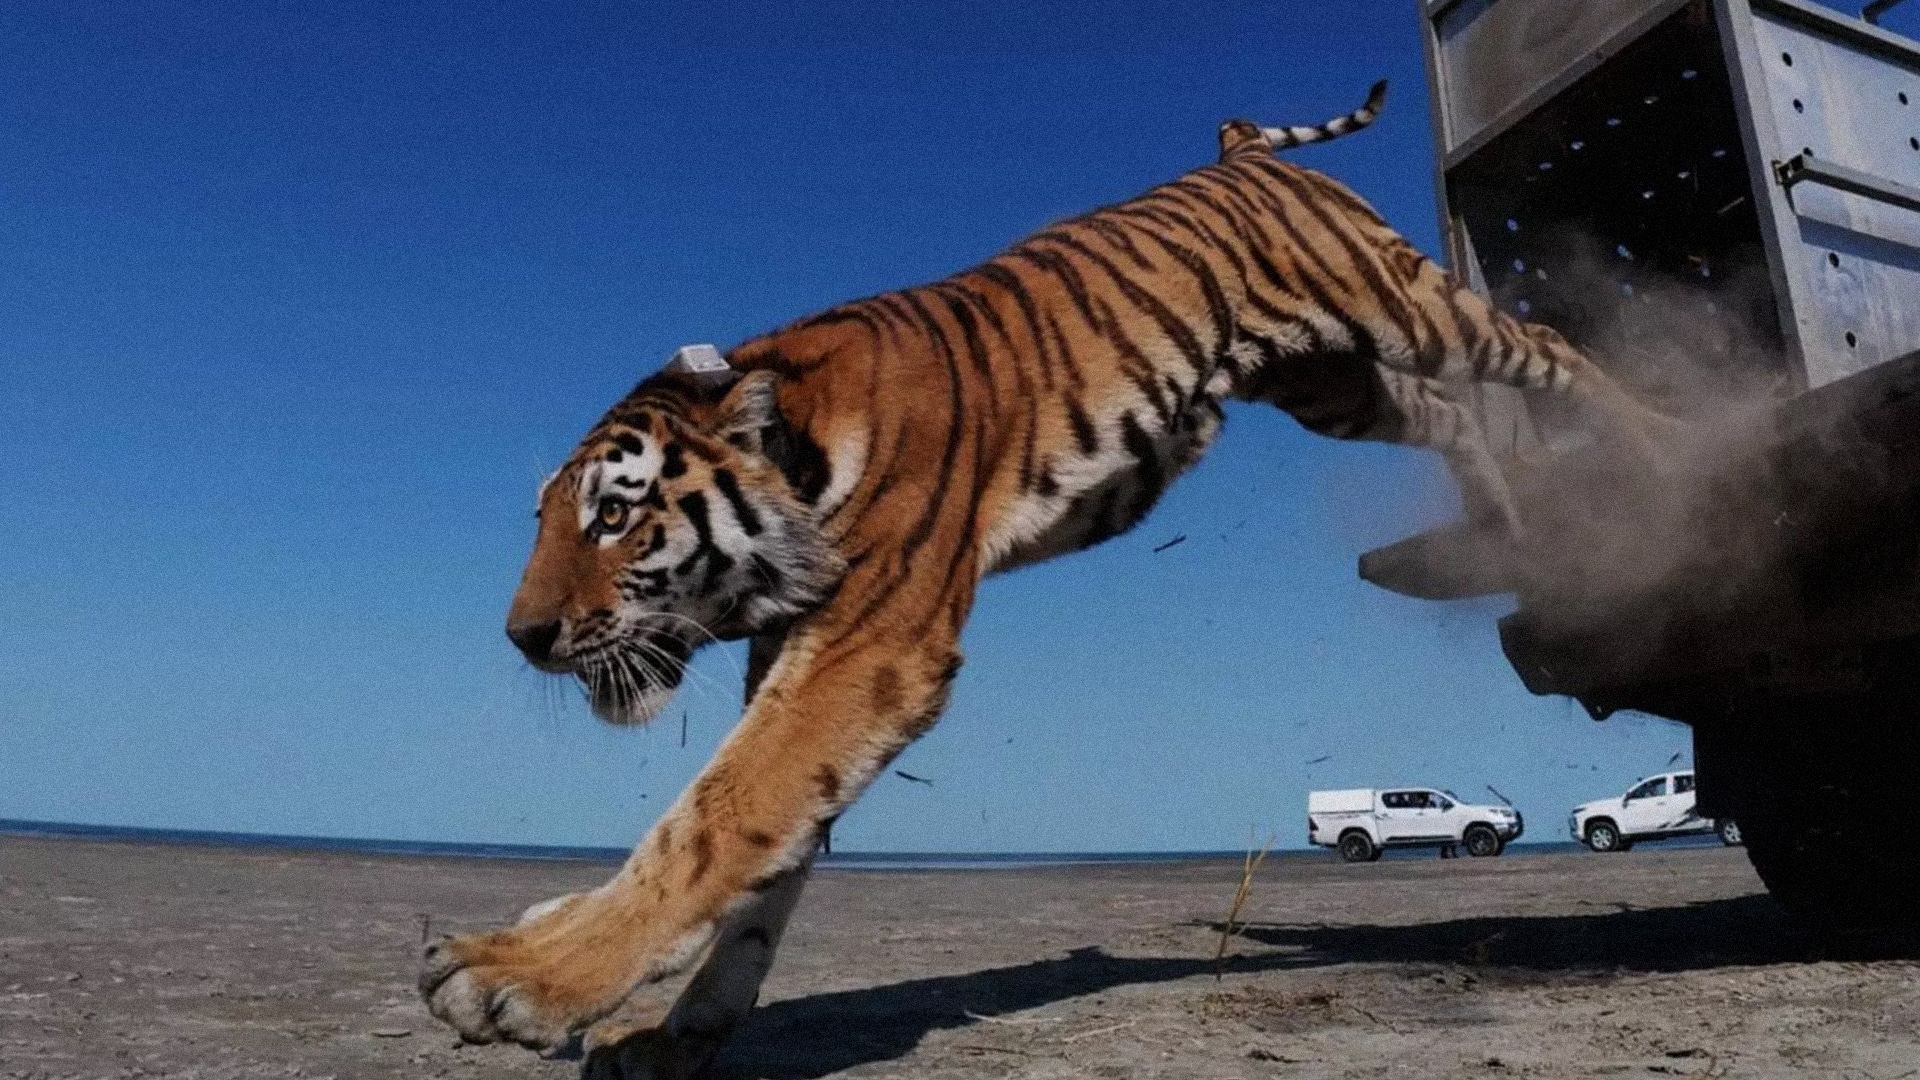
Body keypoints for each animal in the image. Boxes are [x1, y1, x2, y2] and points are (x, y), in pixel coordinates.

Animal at [420, 82, 1668, 1075]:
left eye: (614, 516)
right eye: (547, 519)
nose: (522, 636)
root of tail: (1241, 155)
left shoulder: (871, 646)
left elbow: (716, 816)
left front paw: (518, 973)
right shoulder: (801, 654)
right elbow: (773, 857)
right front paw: (677, 1031)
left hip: (1403, 302)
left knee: (1547, 353)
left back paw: (1666, 445)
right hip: (1333, 382)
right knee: (1448, 412)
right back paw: (1503, 514)